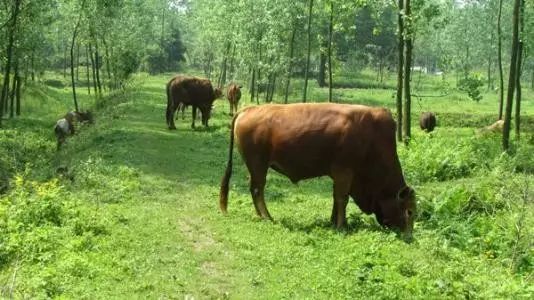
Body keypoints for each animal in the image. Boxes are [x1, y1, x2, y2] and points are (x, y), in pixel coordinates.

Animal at [221, 104, 418, 240]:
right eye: (409, 211)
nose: (409, 236)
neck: (373, 138)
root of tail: (248, 109)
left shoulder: (340, 175)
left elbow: (336, 198)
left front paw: (333, 222)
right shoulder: (344, 172)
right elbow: (342, 199)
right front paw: (341, 226)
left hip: (257, 168)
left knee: (255, 189)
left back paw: (261, 216)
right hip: (259, 166)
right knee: (257, 190)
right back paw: (267, 217)